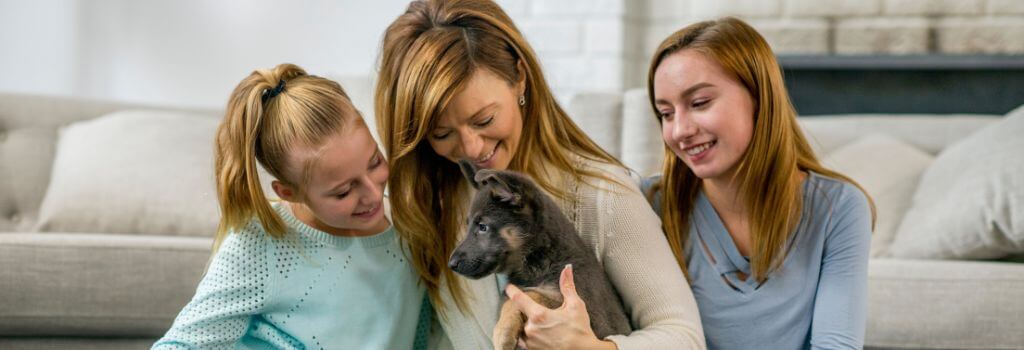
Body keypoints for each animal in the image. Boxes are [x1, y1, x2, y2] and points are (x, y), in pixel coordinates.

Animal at [450, 159, 630, 347]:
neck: (543, 258)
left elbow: (530, 293)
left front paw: (502, 333)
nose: (451, 264)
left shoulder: (592, 315)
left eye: (482, 227)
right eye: (469, 226)